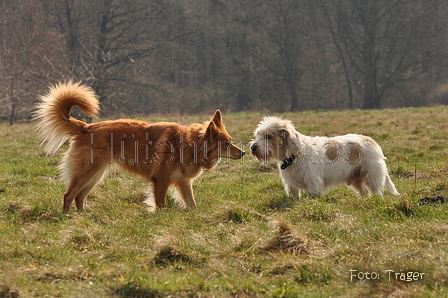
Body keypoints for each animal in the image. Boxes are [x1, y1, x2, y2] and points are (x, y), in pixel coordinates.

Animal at [34, 81, 245, 212]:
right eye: (227, 144)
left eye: (231, 140)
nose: (243, 152)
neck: (189, 145)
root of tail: (86, 127)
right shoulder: (160, 181)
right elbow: (161, 205)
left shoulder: (183, 182)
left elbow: (192, 203)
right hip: (87, 172)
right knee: (68, 195)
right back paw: (67, 217)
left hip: (96, 174)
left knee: (79, 197)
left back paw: (83, 216)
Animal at [250, 116, 400, 198]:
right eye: (257, 135)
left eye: (268, 136)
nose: (253, 147)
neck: (296, 153)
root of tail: (372, 141)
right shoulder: (291, 185)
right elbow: (294, 196)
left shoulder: (313, 182)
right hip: (357, 179)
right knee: (365, 193)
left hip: (372, 176)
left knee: (377, 192)